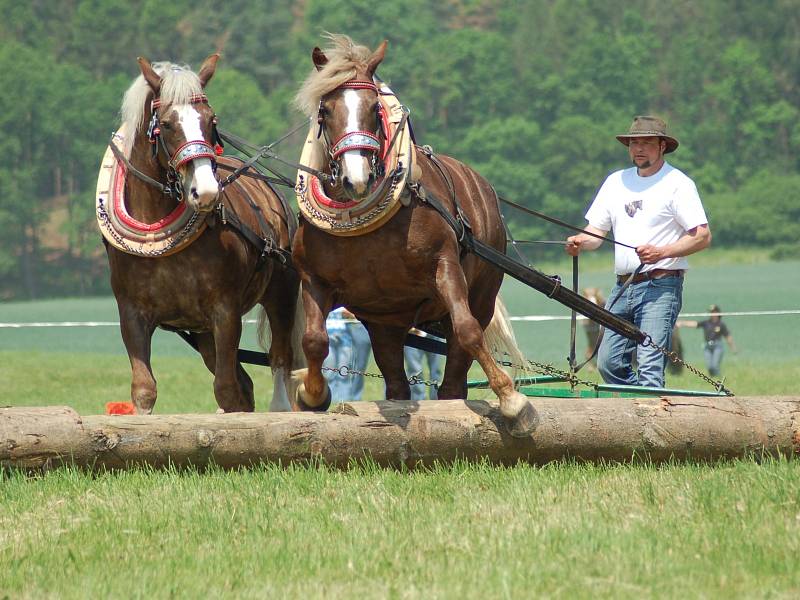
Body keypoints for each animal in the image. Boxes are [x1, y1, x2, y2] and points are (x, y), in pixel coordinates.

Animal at [102, 55, 306, 412]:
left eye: (212, 121)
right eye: (167, 124)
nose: (207, 191)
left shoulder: (224, 312)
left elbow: (226, 389)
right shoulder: (131, 314)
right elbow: (144, 389)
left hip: (280, 294)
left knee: (279, 361)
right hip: (201, 332)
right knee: (246, 383)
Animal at [290, 34, 536, 436]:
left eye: (375, 109)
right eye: (325, 111)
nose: (355, 178)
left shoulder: (444, 265)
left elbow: (468, 330)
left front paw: (514, 400)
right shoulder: (314, 278)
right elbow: (314, 340)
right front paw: (312, 394)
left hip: (481, 294)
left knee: (455, 372)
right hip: (385, 324)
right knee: (397, 386)